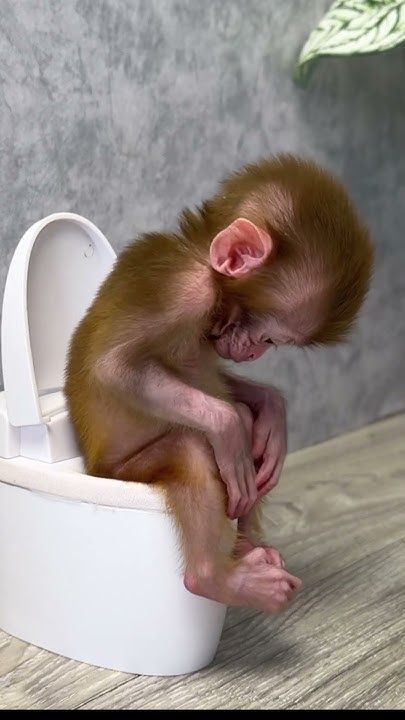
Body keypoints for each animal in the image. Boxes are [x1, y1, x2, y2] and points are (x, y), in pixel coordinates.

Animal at [65, 155, 372, 612]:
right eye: (271, 338)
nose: (254, 353)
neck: (198, 260)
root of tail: (90, 465)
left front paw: (272, 410)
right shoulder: (185, 292)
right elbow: (112, 368)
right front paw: (228, 428)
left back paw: (245, 542)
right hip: (123, 472)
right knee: (192, 450)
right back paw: (217, 578)